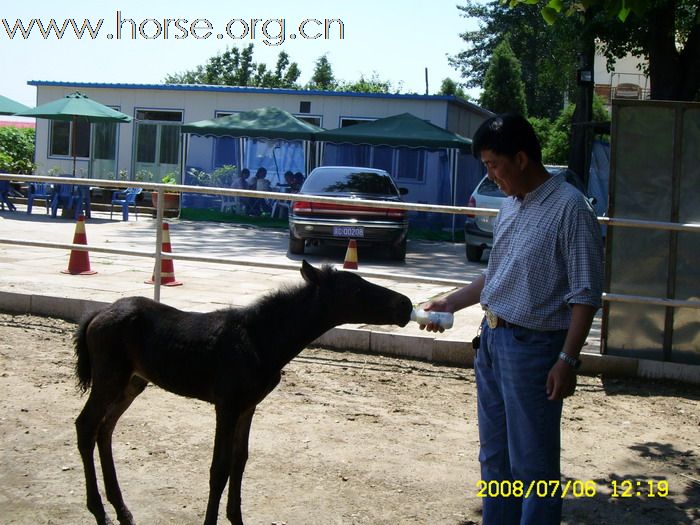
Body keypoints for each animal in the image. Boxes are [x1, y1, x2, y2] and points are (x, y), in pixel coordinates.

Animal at [74, 260, 412, 524]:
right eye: (355, 290)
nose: (405, 305)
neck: (260, 338)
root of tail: (97, 315)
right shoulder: (227, 406)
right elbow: (219, 468)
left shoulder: (249, 406)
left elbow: (240, 460)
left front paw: (235, 517)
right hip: (109, 380)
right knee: (86, 426)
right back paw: (99, 510)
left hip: (132, 384)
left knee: (105, 430)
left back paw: (121, 509)